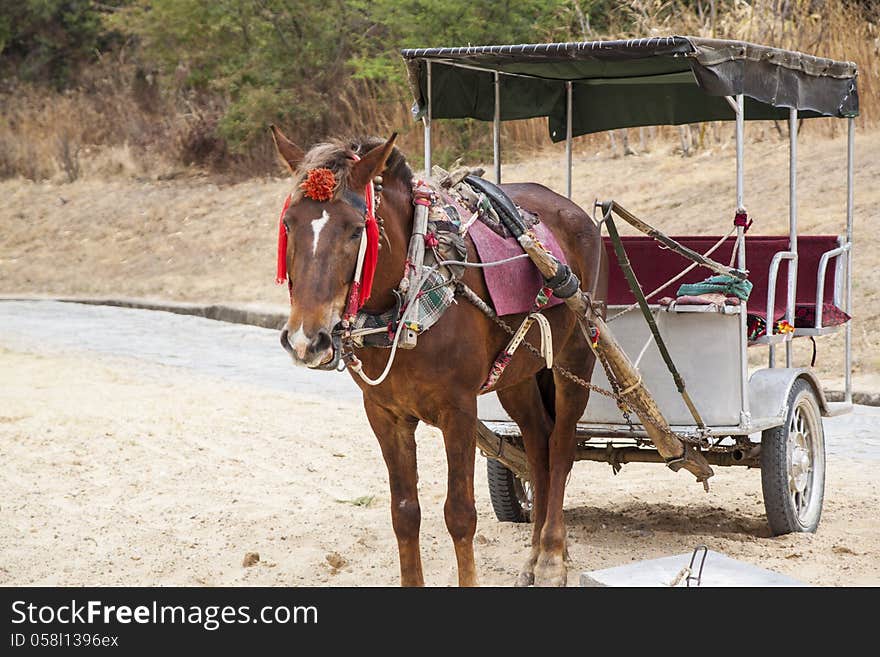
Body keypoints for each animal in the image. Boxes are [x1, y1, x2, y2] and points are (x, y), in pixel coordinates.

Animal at [272, 127, 608, 584]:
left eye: (356, 230)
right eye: (289, 224)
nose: (308, 339)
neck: (408, 300)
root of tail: (571, 209)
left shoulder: (459, 411)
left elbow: (460, 514)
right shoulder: (384, 413)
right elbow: (404, 513)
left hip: (576, 354)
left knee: (561, 448)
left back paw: (552, 556)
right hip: (518, 372)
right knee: (538, 446)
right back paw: (535, 552)